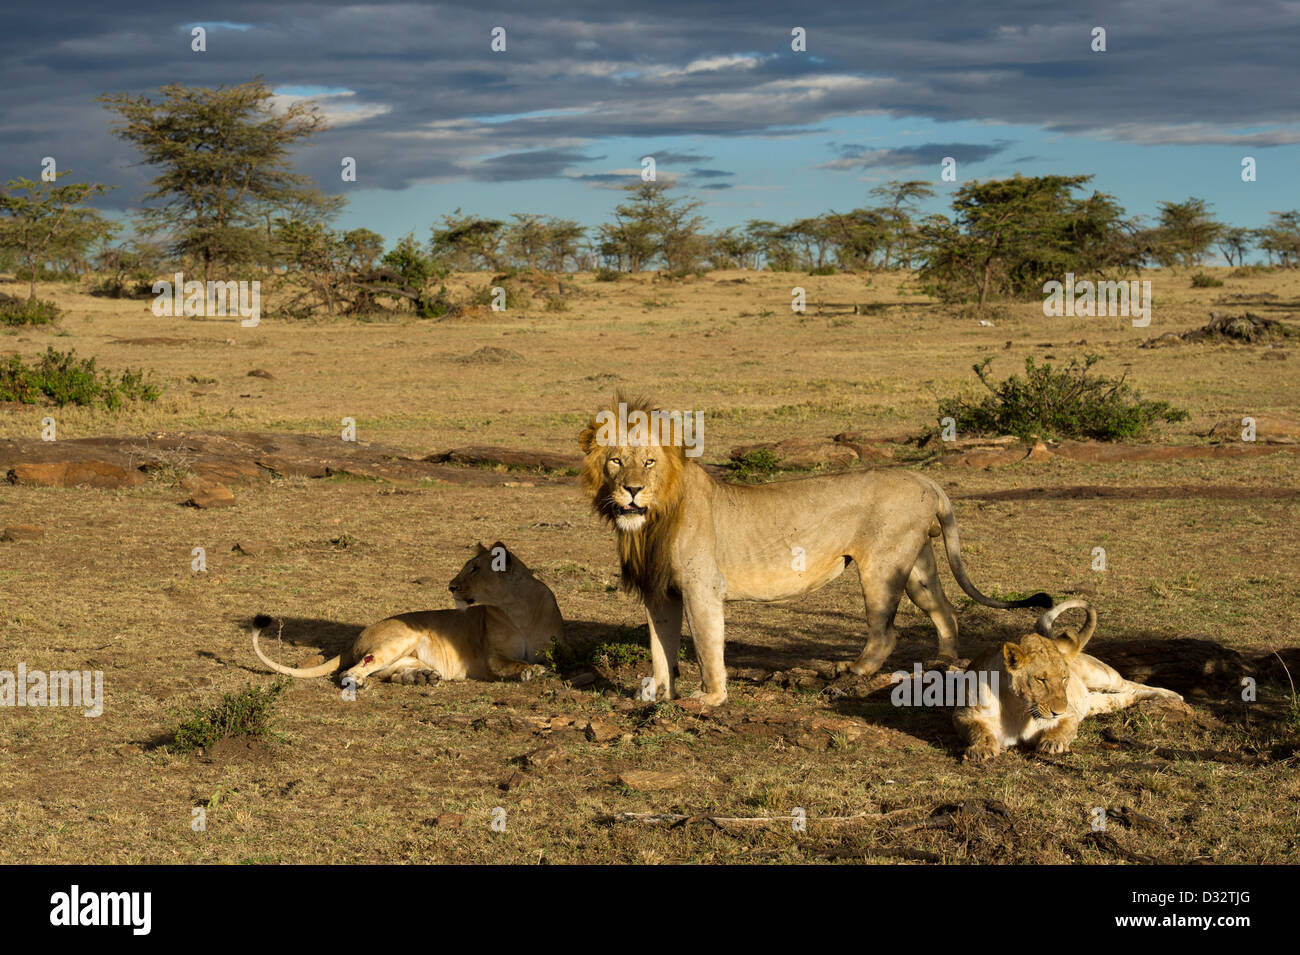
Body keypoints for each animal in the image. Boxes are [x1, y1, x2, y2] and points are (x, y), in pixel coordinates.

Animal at [251, 542, 562, 688]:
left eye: (475, 569)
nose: (450, 586)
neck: (516, 609)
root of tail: (354, 638)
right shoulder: (491, 658)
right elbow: (513, 663)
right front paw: (531, 670)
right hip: (400, 638)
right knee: (351, 670)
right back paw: (358, 682)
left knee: (389, 672)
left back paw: (422, 678)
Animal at [578, 395, 1053, 706]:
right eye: (616, 461)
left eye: (650, 462)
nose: (632, 490)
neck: (649, 524)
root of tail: (926, 479)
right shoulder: (660, 593)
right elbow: (661, 647)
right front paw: (657, 694)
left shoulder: (702, 588)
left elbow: (707, 647)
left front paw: (710, 697)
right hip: (918, 565)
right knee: (945, 610)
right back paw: (944, 663)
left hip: (881, 567)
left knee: (886, 632)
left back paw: (855, 671)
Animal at [953, 599, 1185, 761]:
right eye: (1041, 679)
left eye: (1064, 678)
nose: (1058, 710)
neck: (1018, 707)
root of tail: (1063, 646)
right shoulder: (965, 714)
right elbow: (977, 729)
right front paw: (981, 749)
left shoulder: (1069, 714)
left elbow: (1064, 727)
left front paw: (1052, 743)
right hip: (1098, 702)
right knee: (1126, 695)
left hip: (1102, 676)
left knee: (1129, 683)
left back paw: (1172, 695)